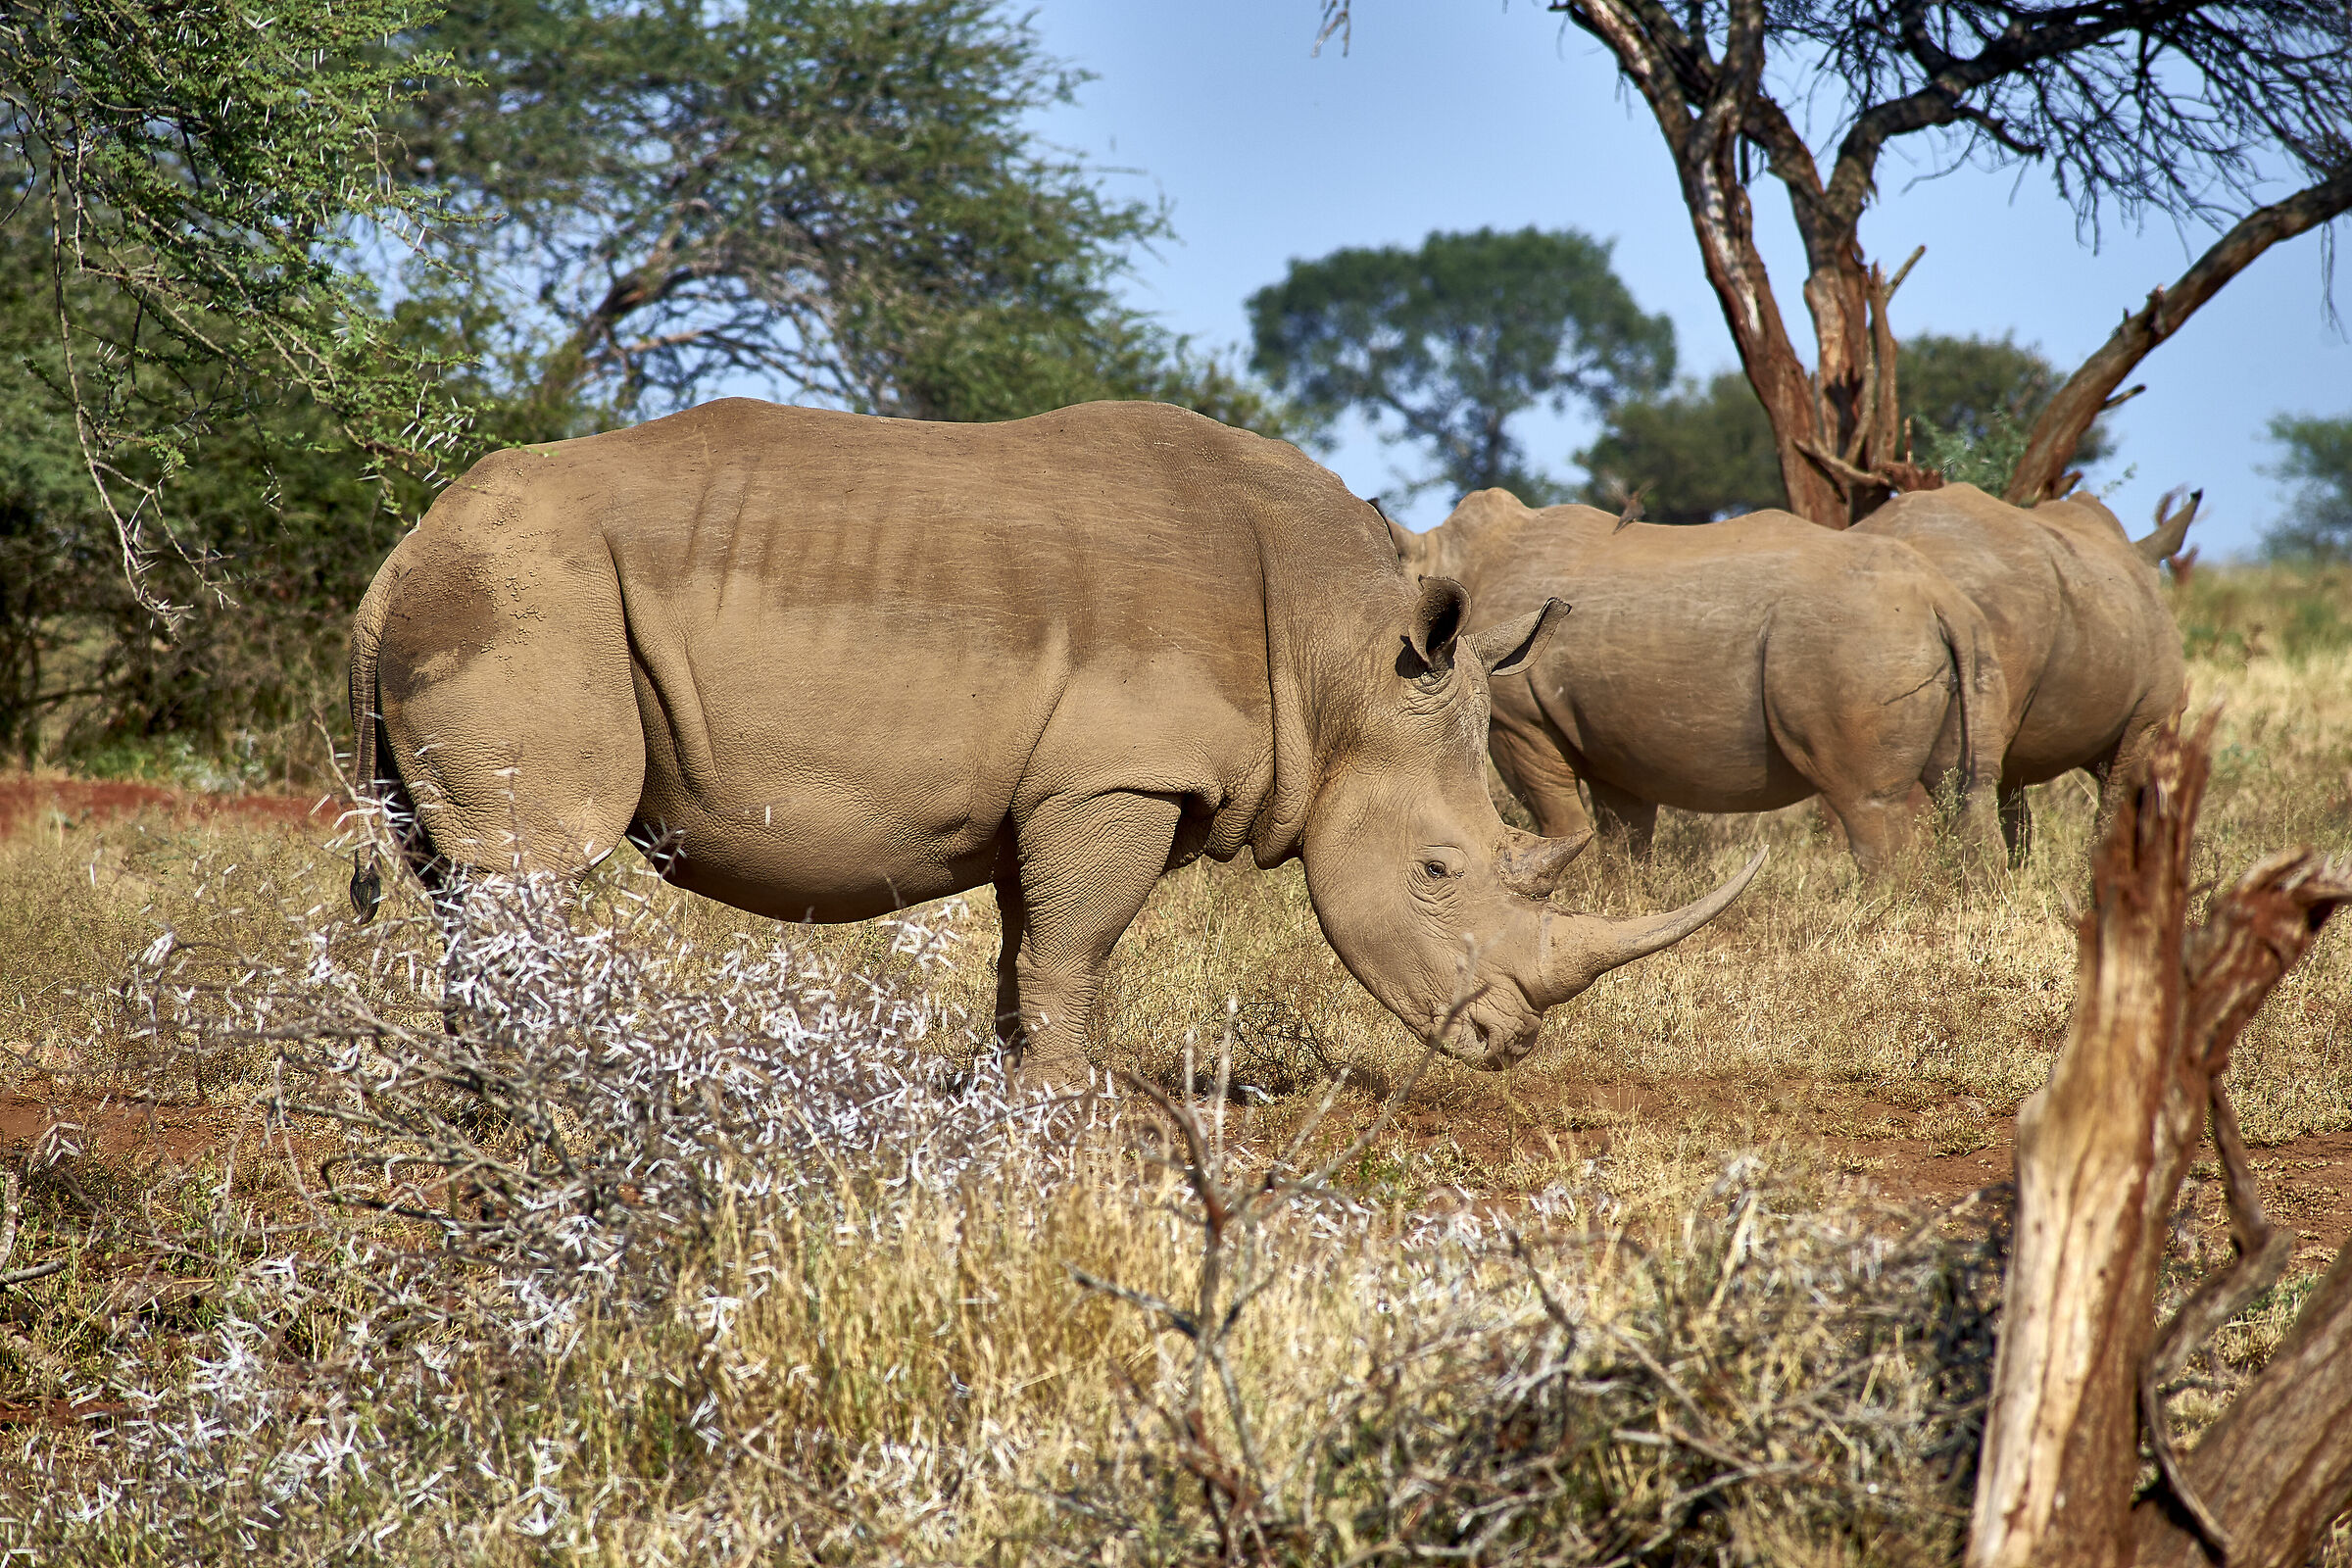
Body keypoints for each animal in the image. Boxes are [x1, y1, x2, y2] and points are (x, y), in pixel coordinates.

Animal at [347, 399, 1759, 1079]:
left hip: (491, 590)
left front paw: (1012, 1102)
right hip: (529, 594)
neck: (1341, 656)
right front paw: (1073, 1118)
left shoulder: (1067, 783)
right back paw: (547, 1102)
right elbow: (1079, 948)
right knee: (530, 865)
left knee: (454, 872)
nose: (1509, 1046)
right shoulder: (1118, 774)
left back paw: (487, 1104)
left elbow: (1032, 950)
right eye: (1437, 871)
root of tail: (400, 551)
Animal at [1388, 490, 2008, 875]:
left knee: (1867, 801)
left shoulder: (1519, 720)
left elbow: (1556, 817)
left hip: (1856, 636)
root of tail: (1939, 594)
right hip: (1963, 638)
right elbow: (1624, 829)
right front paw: (1621, 894)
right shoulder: (1612, 736)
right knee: (1968, 787)